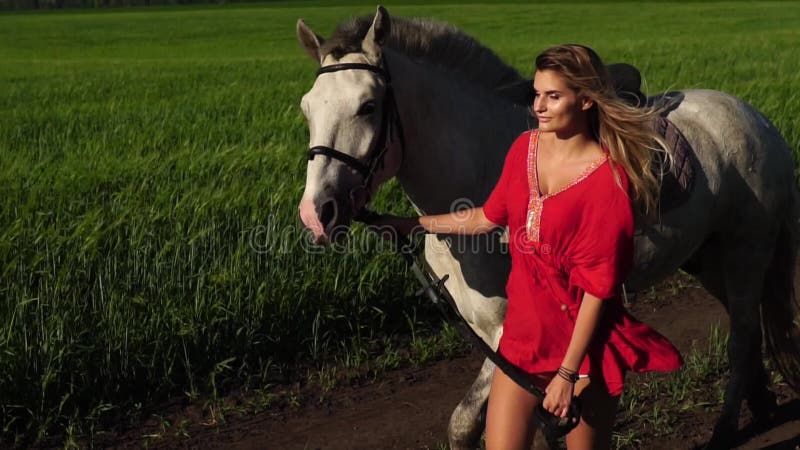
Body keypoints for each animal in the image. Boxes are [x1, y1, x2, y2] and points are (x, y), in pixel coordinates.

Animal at [296, 7, 800, 450]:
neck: (478, 174)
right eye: (306, 108)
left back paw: (725, 428)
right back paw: (761, 406)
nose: (317, 213)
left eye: (368, 106)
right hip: (709, 260)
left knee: (742, 337)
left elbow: (472, 422)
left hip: (746, 253)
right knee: (749, 329)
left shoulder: (509, 333)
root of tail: (759, 120)